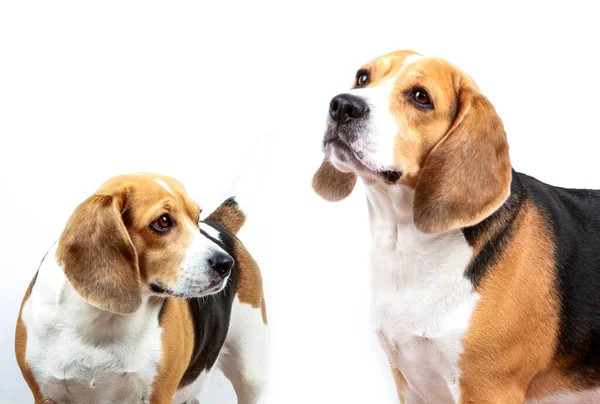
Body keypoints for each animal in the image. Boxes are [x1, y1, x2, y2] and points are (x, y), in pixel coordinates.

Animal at [14, 174, 266, 404]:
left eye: (197, 217)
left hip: (251, 374)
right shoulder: (44, 395)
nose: (226, 264)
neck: (102, 319)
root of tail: (218, 226)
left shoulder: (159, 396)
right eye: (162, 221)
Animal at [314, 51, 600, 404]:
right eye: (363, 78)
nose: (342, 105)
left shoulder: (488, 388)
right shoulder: (410, 384)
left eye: (421, 97)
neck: (405, 247)